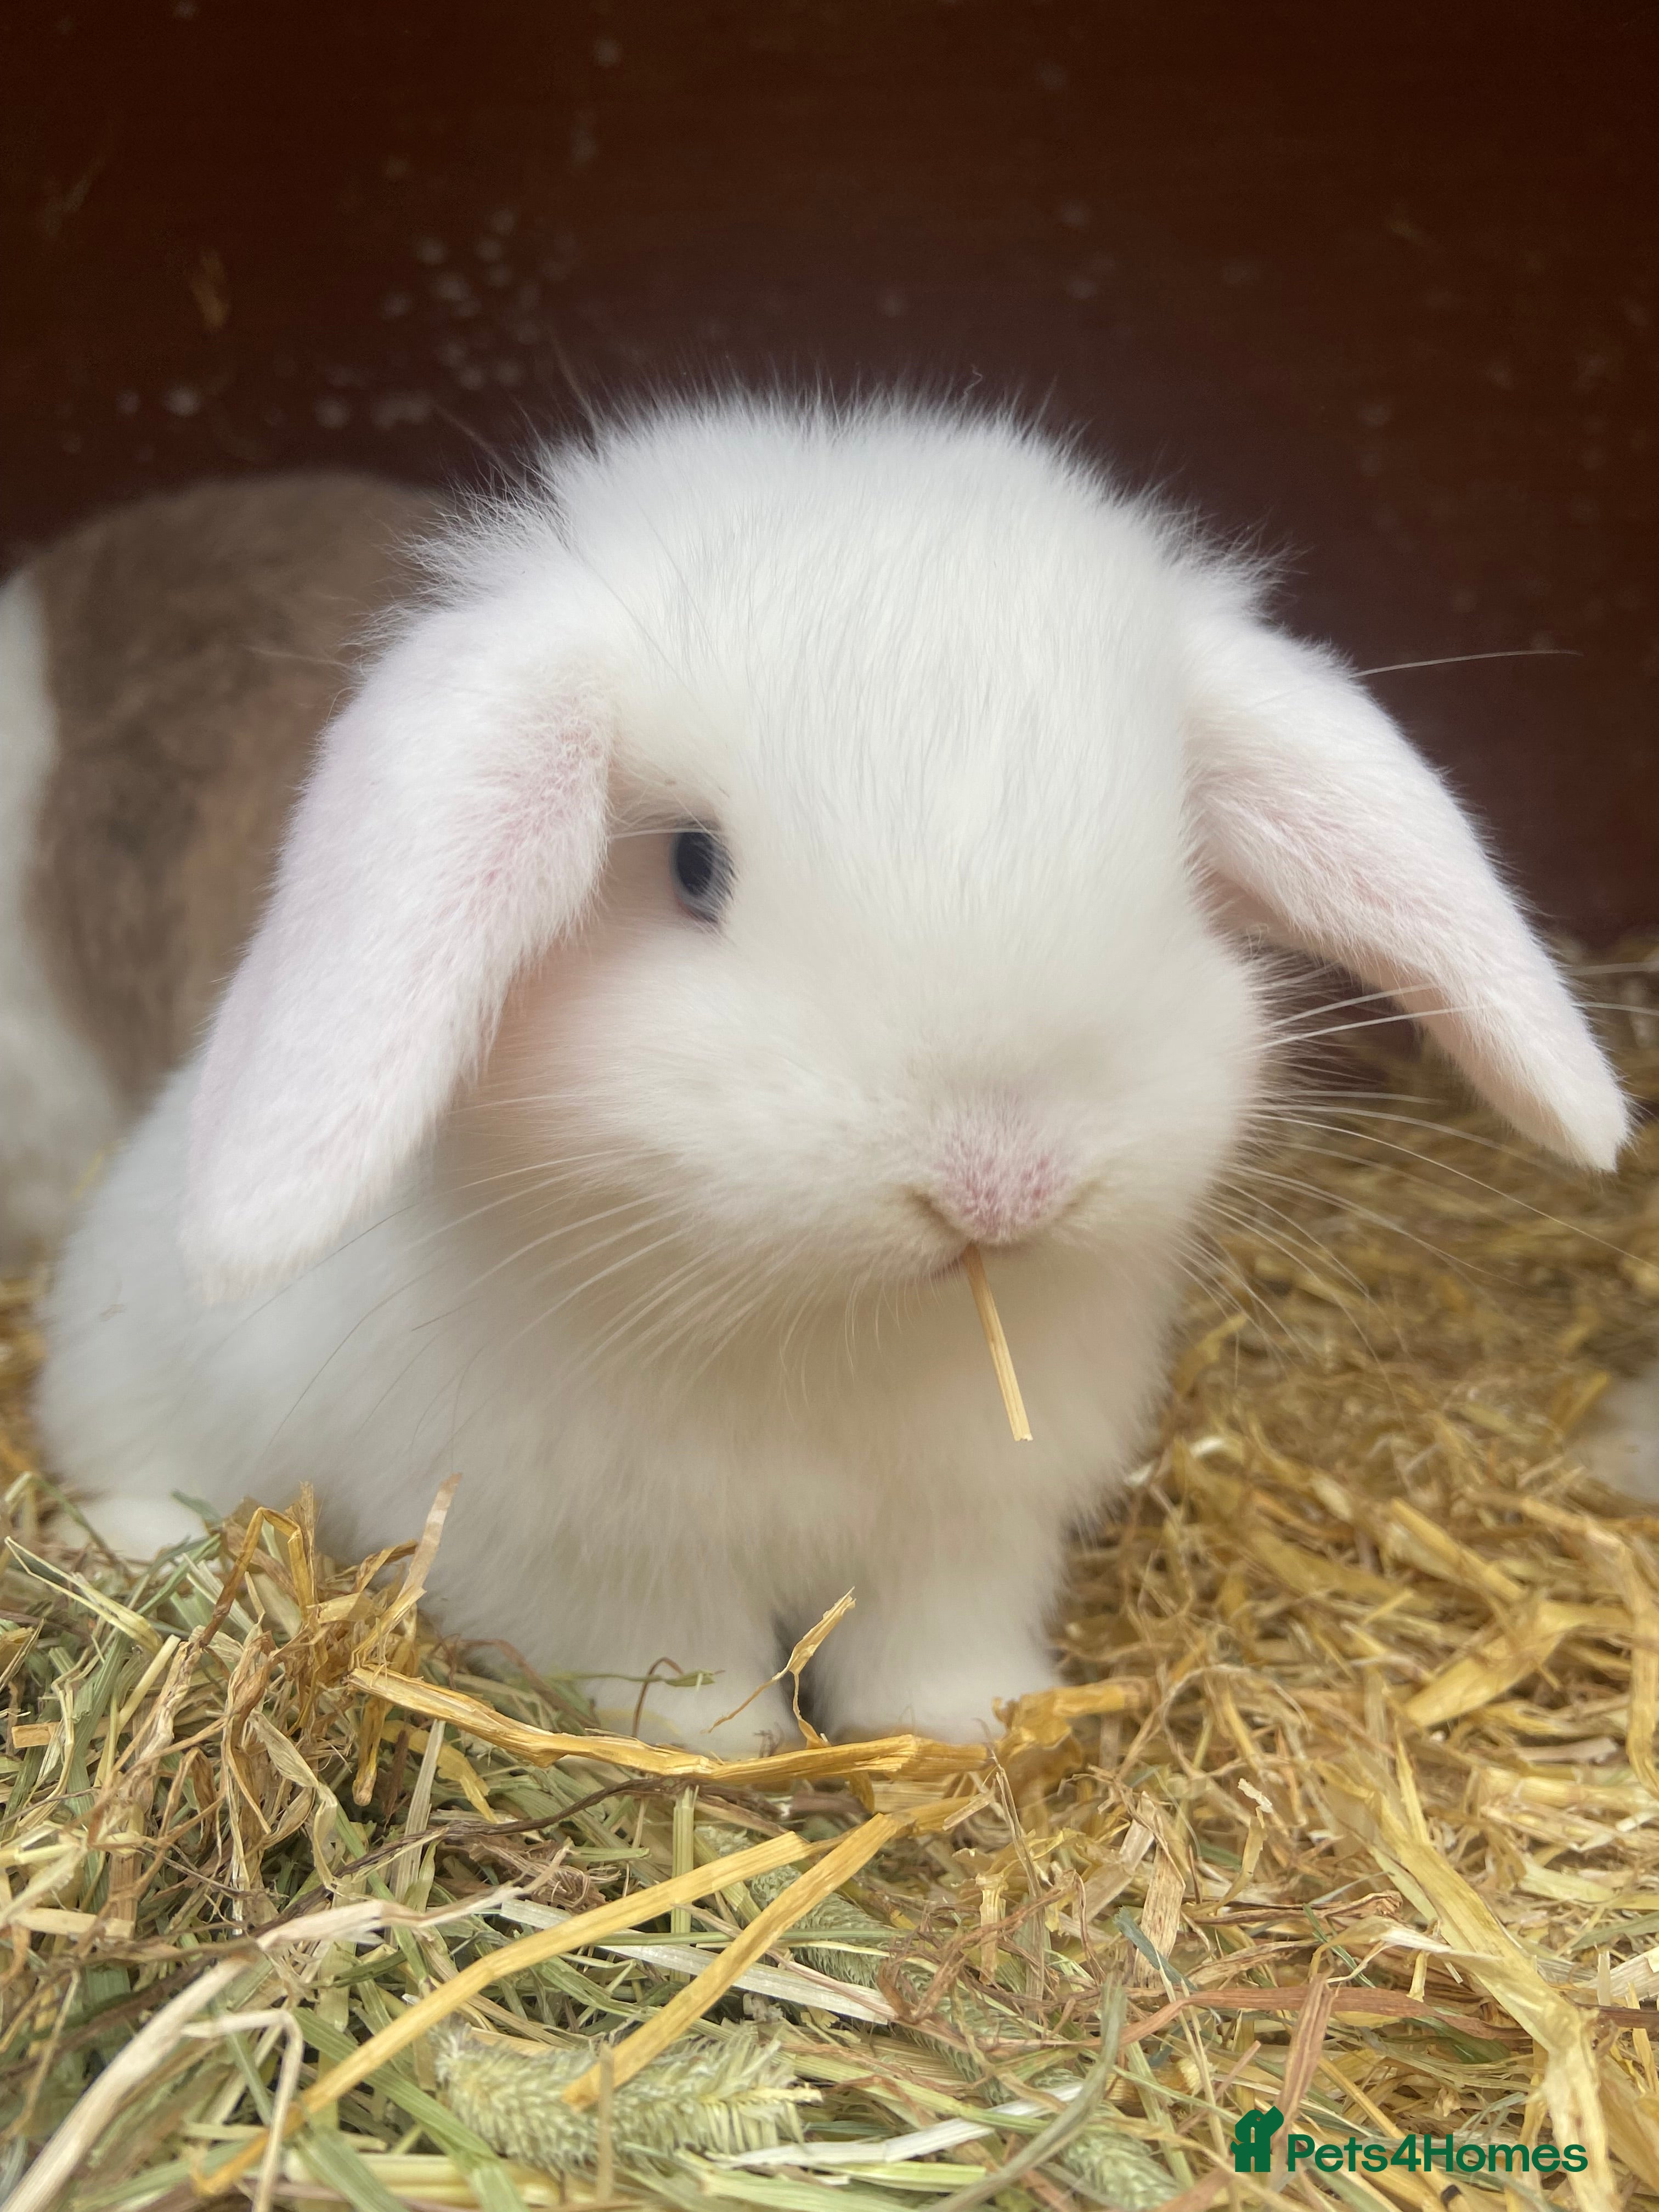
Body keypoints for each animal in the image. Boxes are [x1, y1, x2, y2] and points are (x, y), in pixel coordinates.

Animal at [8, 396, 1629, 1753]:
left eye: (1175, 866)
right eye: (693, 867)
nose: (1002, 1177)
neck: (843, 1326)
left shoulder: (969, 1526)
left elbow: (936, 1644)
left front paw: (969, 1729)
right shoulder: (580, 1551)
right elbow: (666, 1666)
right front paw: (721, 1747)